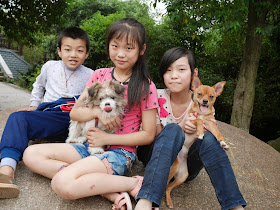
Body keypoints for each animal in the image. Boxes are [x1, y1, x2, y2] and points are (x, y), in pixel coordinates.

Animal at [166, 74, 228, 208]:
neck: (202, 113)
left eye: (211, 96)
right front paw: (199, 133)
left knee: (168, 187)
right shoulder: (191, 120)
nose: (205, 101)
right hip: (172, 169)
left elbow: (217, 132)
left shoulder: (210, 124)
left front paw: (222, 142)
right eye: (199, 94)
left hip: (182, 176)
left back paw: (169, 200)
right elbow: (198, 120)